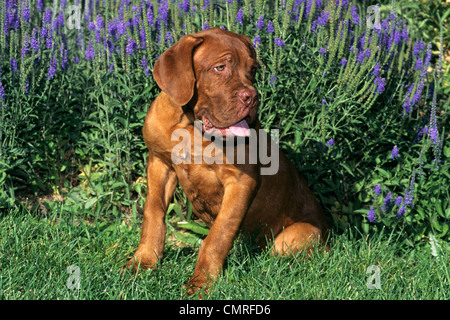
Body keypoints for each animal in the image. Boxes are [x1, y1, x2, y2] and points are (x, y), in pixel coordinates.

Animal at [125, 28, 328, 296]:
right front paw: (143, 261)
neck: (191, 126)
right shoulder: (160, 163)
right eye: (220, 67)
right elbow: (153, 214)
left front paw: (201, 282)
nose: (252, 97)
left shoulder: (240, 181)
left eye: (252, 70)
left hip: (296, 236)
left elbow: (218, 235)